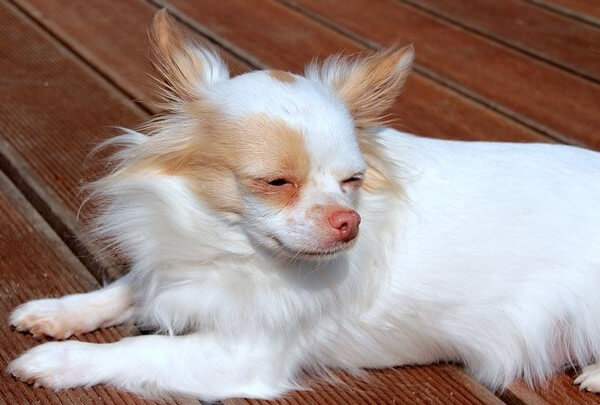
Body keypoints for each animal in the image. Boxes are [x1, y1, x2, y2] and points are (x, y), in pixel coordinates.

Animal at [7, 9, 600, 400]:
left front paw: (57, 361)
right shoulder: (172, 274)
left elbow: (135, 352)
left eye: (352, 181)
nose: (349, 221)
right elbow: (125, 289)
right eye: (276, 182)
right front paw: (56, 313)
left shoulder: (240, 356)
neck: (234, 251)